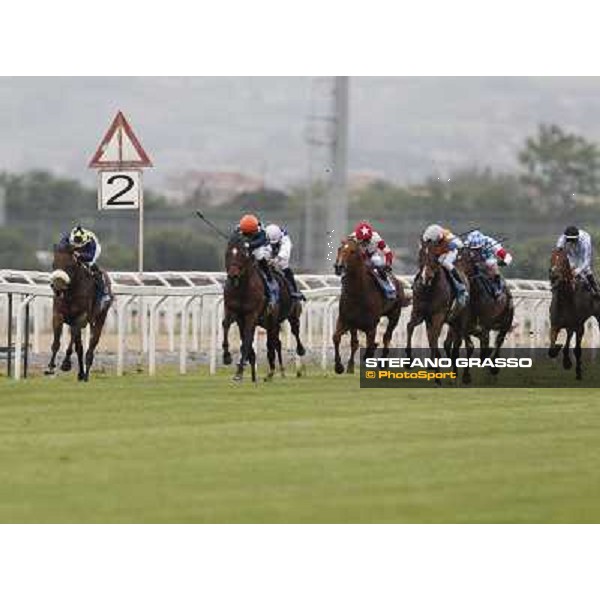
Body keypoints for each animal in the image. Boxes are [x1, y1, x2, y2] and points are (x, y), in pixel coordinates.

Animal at [44, 244, 112, 380]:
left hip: (100, 317)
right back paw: (81, 373)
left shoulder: (81, 317)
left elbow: (73, 342)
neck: (71, 293)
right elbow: (57, 343)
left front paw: (66, 364)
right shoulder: (58, 315)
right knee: (79, 346)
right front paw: (50, 367)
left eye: (69, 266)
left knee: (92, 343)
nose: (58, 287)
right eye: (54, 264)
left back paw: (86, 371)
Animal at [221, 234, 304, 380]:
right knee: (276, 342)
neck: (242, 288)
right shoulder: (233, 312)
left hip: (287, 317)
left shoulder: (251, 315)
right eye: (227, 254)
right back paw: (274, 370)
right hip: (269, 322)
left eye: (242, 254)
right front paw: (227, 357)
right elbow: (226, 326)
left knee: (293, 332)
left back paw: (296, 353)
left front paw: (241, 370)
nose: (233, 275)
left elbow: (247, 339)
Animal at [332, 239, 408, 376]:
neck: (358, 293)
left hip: (395, 315)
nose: (339, 266)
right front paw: (341, 366)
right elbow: (339, 338)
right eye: (339, 249)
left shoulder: (371, 325)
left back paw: (383, 364)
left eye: (352, 251)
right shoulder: (347, 320)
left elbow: (369, 346)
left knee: (387, 337)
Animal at [548, 247, 600, 380]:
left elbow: (575, 349)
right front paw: (560, 351)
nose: (554, 275)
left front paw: (573, 367)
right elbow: (552, 350)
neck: (565, 299)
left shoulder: (577, 325)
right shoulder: (555, 325)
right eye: (551, 258)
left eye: (563, 261)